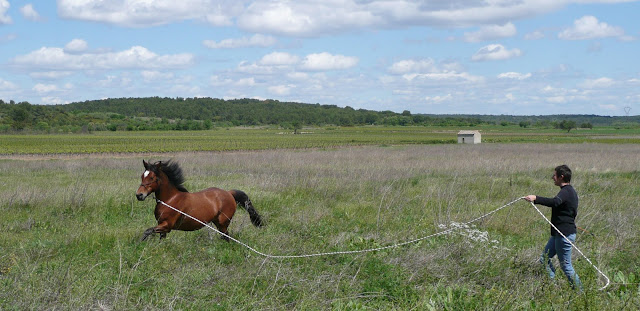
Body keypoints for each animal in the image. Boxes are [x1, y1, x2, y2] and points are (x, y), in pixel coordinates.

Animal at [136, 160, 264, 243]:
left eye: (152, 178)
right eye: (142, 176)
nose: (139, 195)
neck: (170, 200)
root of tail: (229, 193)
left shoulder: (167, 225)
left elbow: (147, 231)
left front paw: (138, 245)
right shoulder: (162, 226)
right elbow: (159, 238)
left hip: (223, 223)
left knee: (226, 236)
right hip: (218, 223)